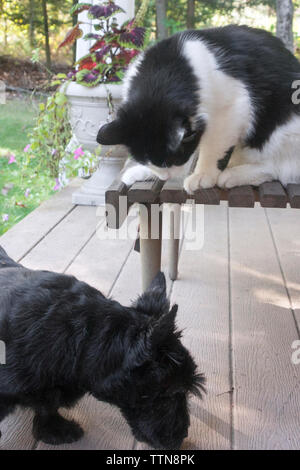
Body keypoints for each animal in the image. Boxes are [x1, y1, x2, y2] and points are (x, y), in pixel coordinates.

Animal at [97, 24, 300, 191]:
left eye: (169, 160)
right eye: (147, 161)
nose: (166, 177)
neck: (161, 75)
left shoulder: (233, 107)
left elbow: (213, 147)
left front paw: (203, 175)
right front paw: (144, 172)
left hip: (281, 132)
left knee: (280, 169)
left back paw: (233, 175)